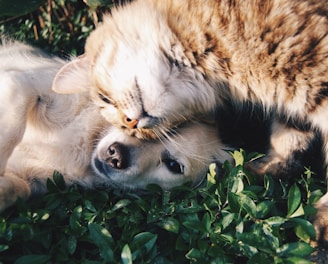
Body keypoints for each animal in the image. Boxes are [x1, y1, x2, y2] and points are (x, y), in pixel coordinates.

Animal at [0, 40, 232, 211]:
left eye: (173, 165)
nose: (116, 155)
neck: (86, 143)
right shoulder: (21, 82)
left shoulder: (35, 182)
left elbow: (18, 189)